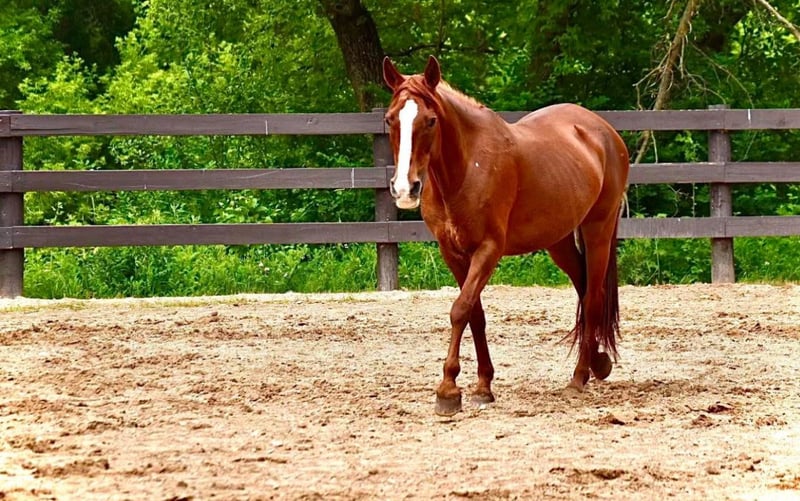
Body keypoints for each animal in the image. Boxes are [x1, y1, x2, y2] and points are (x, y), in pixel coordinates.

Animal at [382, 56, 630, 416]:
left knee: (594, 295)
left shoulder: (488, 249)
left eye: (430, 121)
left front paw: (448, 390)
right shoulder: (452, 252)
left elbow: (460, 309)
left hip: (598, 228)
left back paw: (579, 377)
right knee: (584, 291)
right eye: (390, 119)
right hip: (558, 241)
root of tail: (604, 132)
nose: (405, 188)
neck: (465, 170)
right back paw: (598, 363)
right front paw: (483, 386)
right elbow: (475, 314)